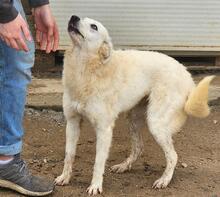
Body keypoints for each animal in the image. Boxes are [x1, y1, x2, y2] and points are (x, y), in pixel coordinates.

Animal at [55, 15, 215, 195]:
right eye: (81, 17)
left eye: (94, 26)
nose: (73, 17)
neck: (85, 68)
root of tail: (186, 74)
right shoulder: (72, 122)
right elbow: (69, 154)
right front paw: (65, 177)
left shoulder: (104, 129)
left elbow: (98, 161)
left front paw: (95, 185)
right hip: (133, 118)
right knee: (139, 147)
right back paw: (124, 166)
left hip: (155, 122)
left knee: (173, 156)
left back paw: (164, 180)